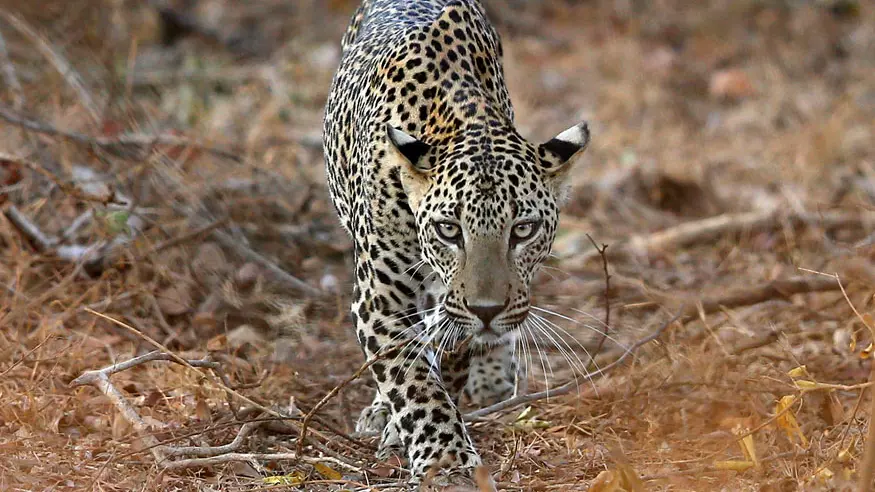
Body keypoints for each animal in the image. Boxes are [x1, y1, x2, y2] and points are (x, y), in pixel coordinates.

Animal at [322, 0, 590, 482]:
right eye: (449, 229)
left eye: (523, 229)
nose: (487, 310)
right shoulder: (380, 299)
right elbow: (412, 380)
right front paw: (444, 459)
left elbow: (448, 350)